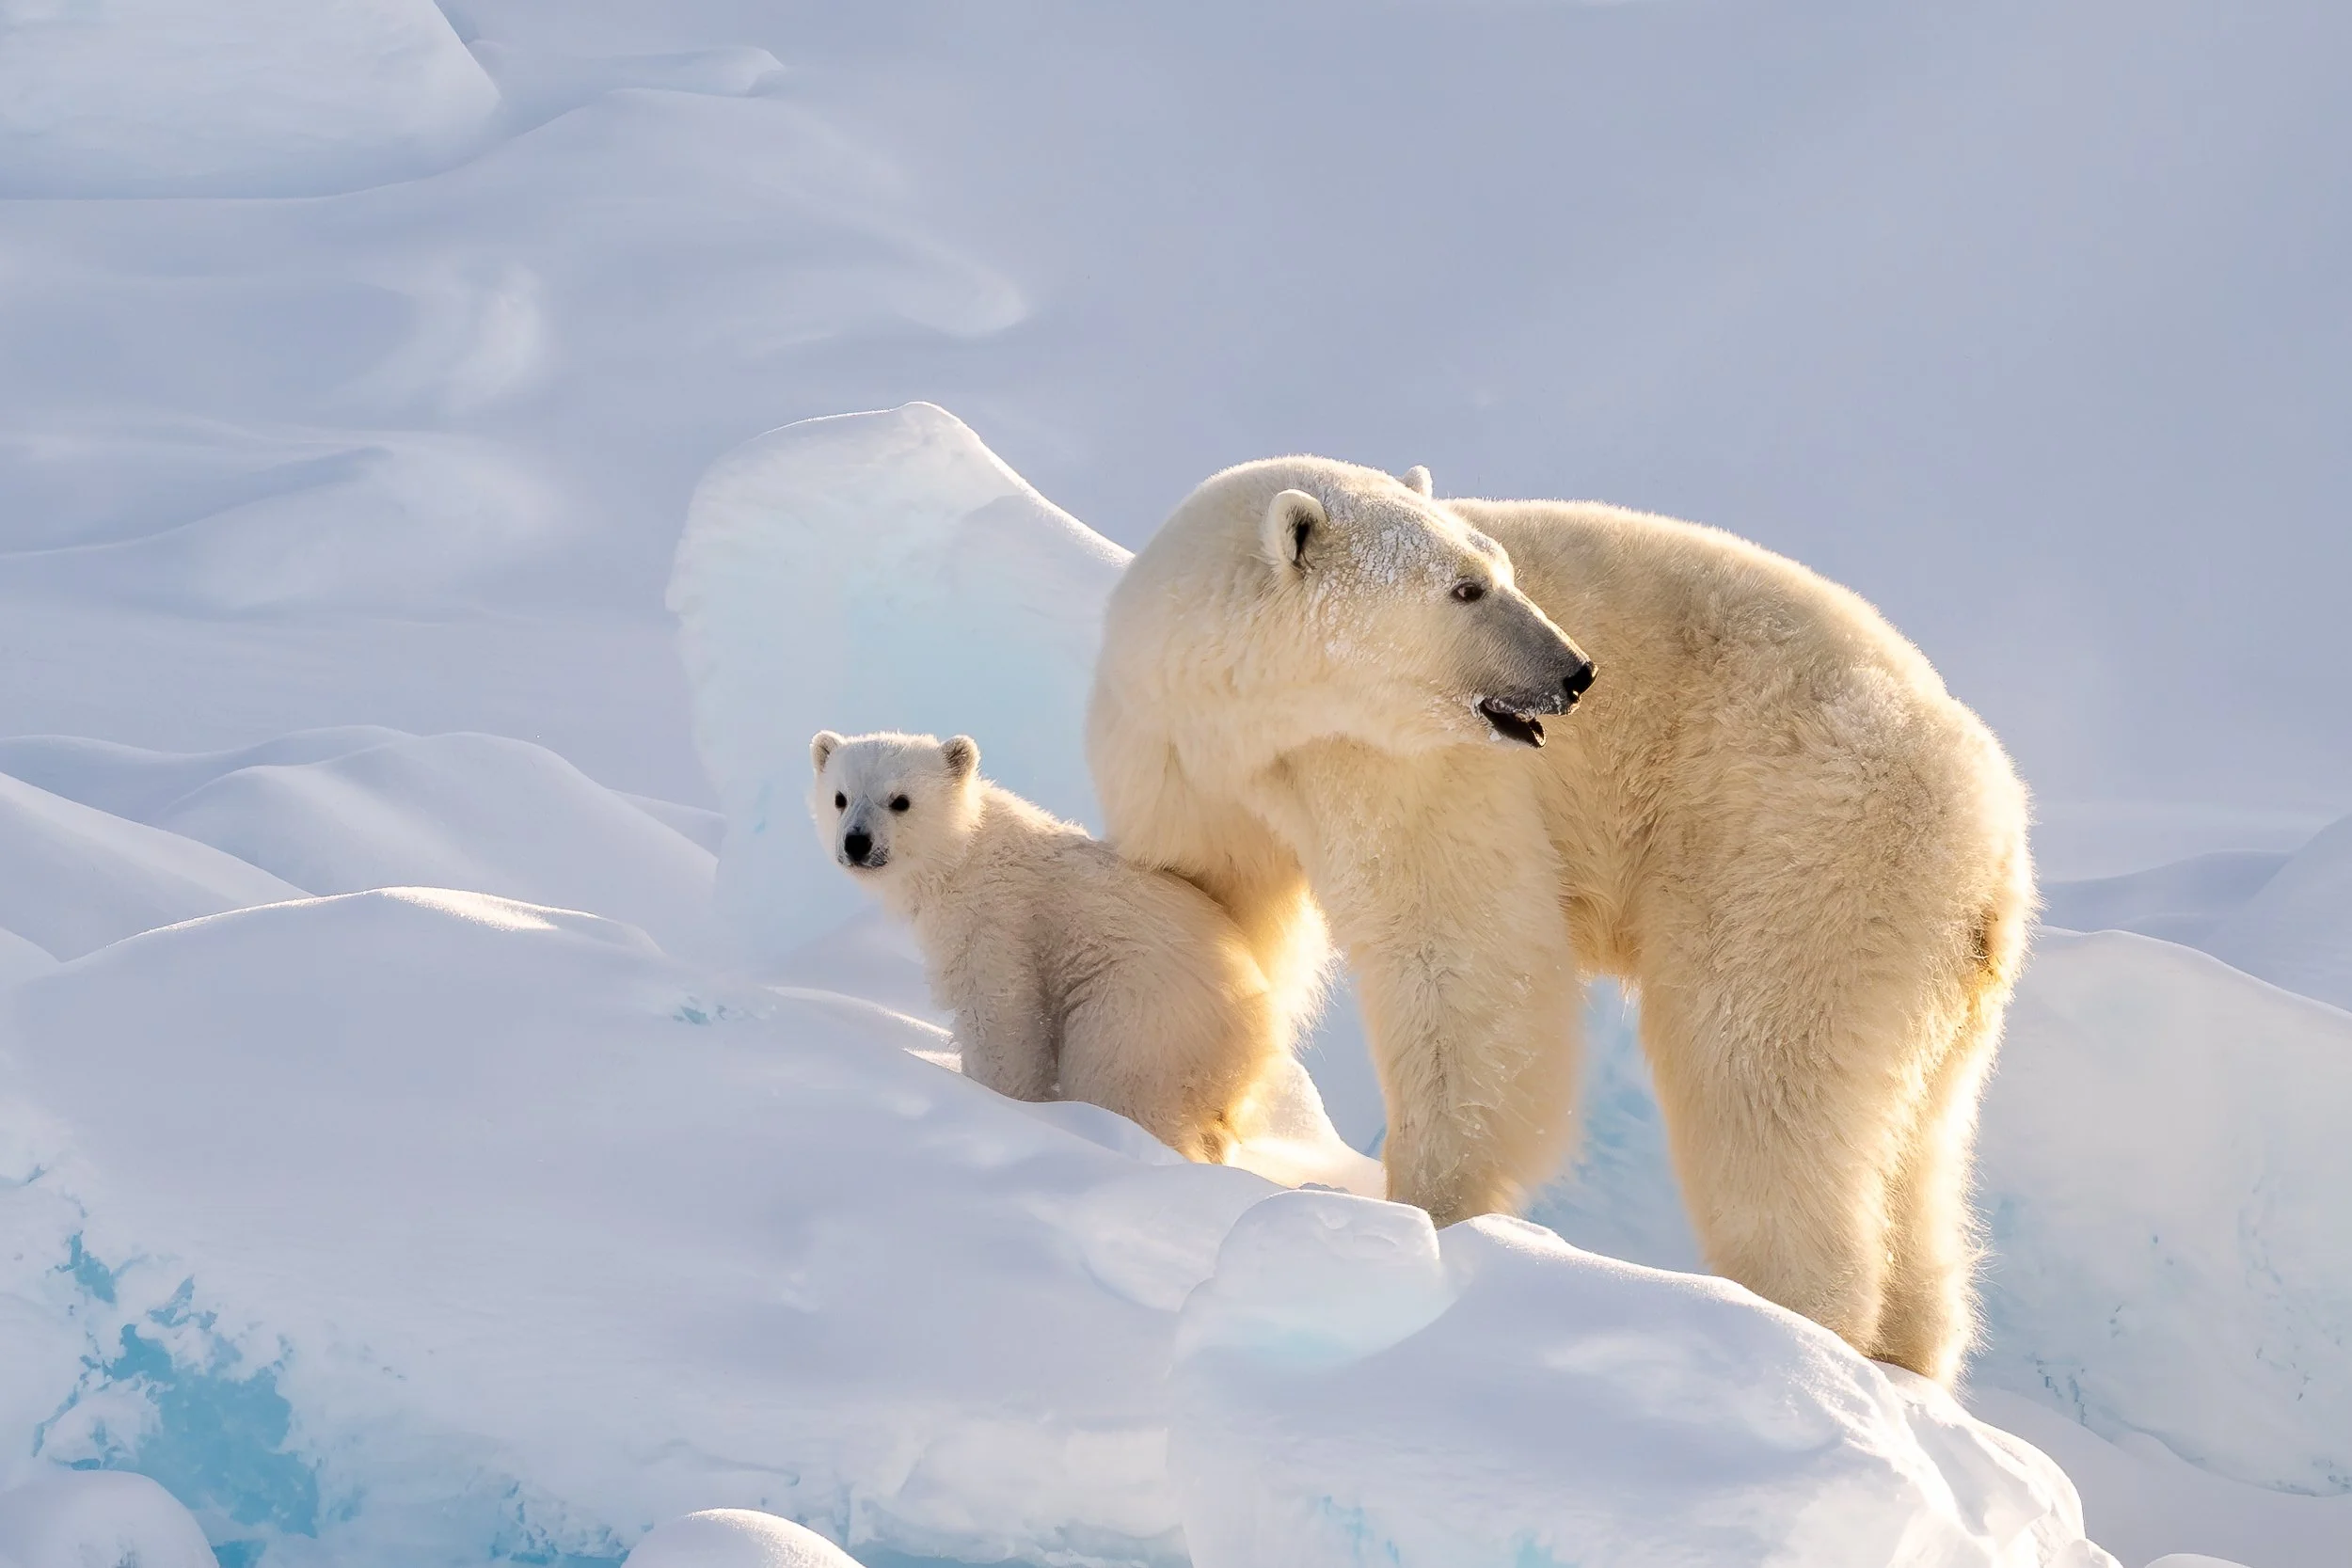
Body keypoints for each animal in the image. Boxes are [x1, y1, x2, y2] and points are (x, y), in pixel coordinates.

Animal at [808, 729, 1287, 1163]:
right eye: (840, 797)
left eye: (900, 800)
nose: (857, 842)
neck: (964, 854)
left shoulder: (997, 918)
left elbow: (1002, 1014)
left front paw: (1002, 1099)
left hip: (1144, 1017)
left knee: (1120, 1084)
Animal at [1086, 457, 2033, 1385]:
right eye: (1467, 588)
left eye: (1496, 570)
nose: (1577, 673)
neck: (1256, 714)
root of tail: (1993, 836)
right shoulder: (1187, 754)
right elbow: (1221, 911)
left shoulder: (1408, 768)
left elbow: (1457, 950)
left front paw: (1425, 1212)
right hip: (1925, 960)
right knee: (1917, 1148)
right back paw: (1908, 1350)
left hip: (1801, 854)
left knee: (1759, 1075)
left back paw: (1794, 1322)